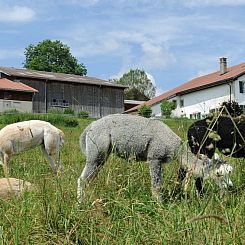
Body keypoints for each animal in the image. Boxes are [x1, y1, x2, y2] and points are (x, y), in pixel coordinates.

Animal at [77, 113, 233, 203]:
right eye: (219, 174)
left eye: (230, 172)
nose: (230, 186)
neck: (177, 150)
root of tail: (89, 127)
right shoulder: (154, 157)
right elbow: (157, 185)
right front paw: (159, 205)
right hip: (97, 150)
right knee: (82, 179)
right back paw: (80, 204)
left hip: (101, 154)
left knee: (89, 178)